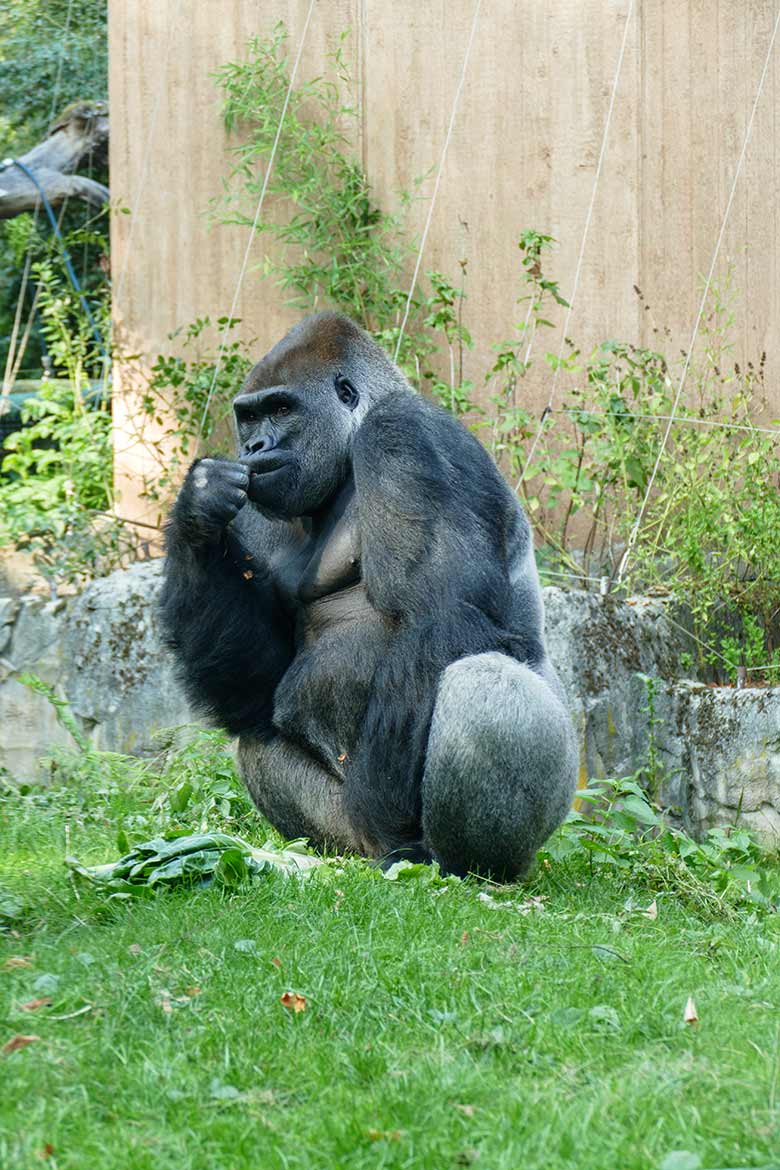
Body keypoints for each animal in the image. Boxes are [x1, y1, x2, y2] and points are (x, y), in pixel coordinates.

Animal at [160, 311, 580, 879]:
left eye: (282, 408)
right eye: (248, 418)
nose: (254, 449)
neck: (352, 444)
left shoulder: (404, 436)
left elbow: (438, 616)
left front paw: (391, 814)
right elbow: (258, 682)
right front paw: (198, 509)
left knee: (485, 684)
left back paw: (464, 866)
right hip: (348, 836)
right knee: (257, 742)